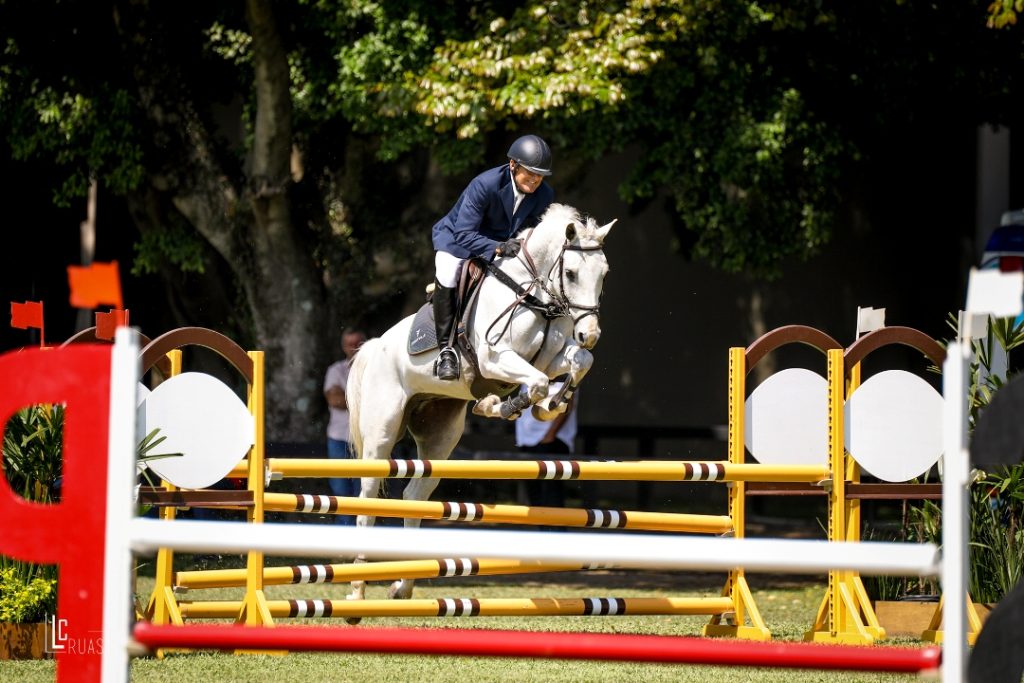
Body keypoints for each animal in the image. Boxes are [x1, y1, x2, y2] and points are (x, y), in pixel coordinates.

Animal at [348, 202, 610, 602]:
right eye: (571, 272)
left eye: (604, 274)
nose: (589, 333)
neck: (533, 295)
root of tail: (375, 345)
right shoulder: (494, 358)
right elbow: (535, 382)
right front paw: (505, 406)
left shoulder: (550, 358)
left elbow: (580, 361)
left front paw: (547, 405)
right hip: (381, 434)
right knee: (368, 499)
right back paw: (357, 590)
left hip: (439, 436)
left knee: (414, 495)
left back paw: (402, 585)